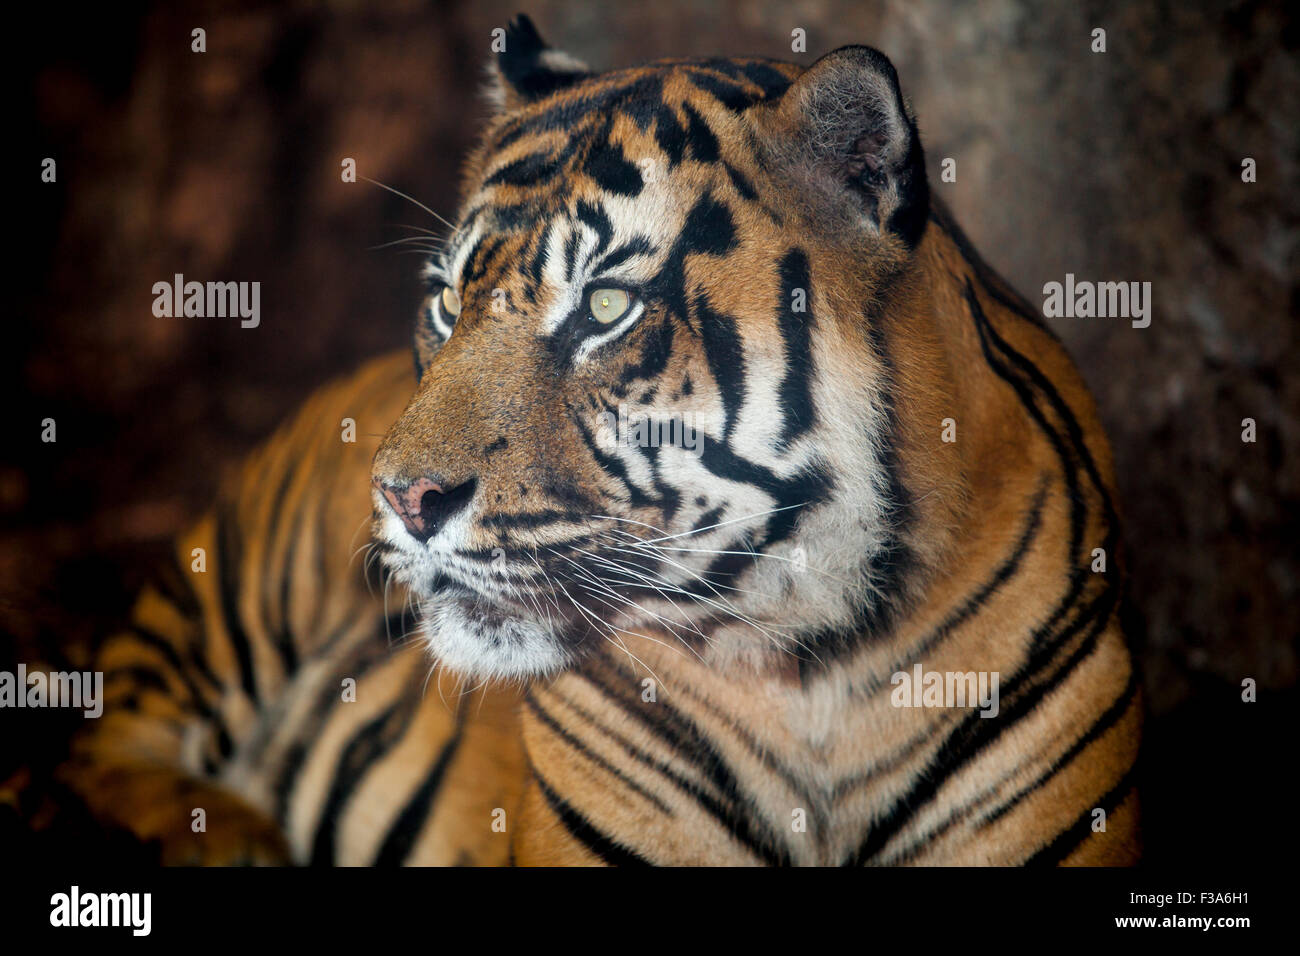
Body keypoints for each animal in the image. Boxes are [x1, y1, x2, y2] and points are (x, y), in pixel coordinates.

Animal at [40, 14, 1138, 868]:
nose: (400, 498)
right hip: (236, 592)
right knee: (91, 743)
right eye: (448, 302)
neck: (814, 669)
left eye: (606, 306)